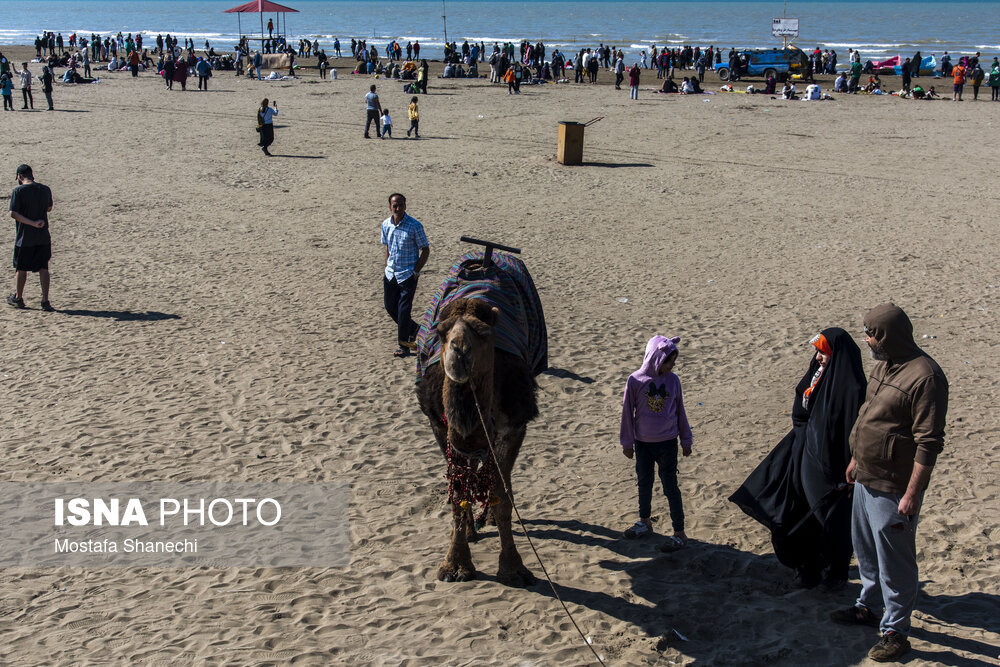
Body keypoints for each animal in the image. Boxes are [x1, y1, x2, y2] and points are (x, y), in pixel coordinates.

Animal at [412, 253, 544, 588]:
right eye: (442, 332)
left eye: (483, 334)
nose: (459, 351)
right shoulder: (439, 426)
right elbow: (458, 491)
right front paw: (455, 565)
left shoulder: (515, 426)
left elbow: (502, 493)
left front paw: (514, 569)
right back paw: (472, 529)